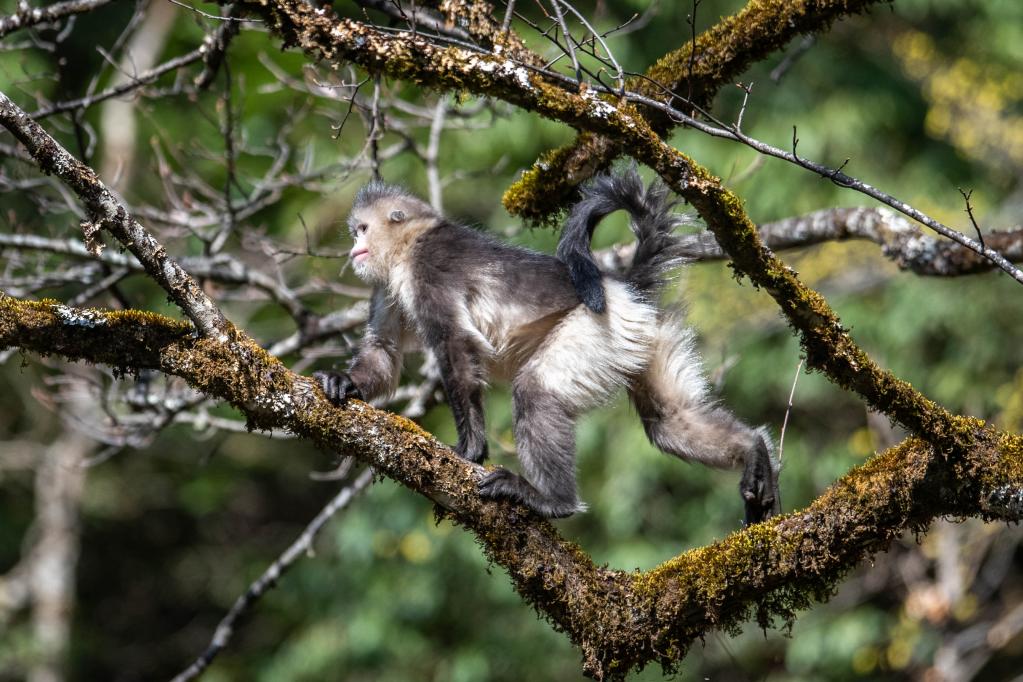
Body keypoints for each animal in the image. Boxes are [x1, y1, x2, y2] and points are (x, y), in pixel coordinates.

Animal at [315, 167, 780, 525]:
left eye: (362, 229)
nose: (355, 248)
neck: (410, 245)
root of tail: (621, 287)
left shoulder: (427, 267)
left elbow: (455, 341)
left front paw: (471, 450)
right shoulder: (385, 284)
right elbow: (383, 351)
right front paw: (344, 383)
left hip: (600, 329)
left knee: (536, 390)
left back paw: (553, 502)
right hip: (645, 336)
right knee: (669, 422)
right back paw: (753, 449)